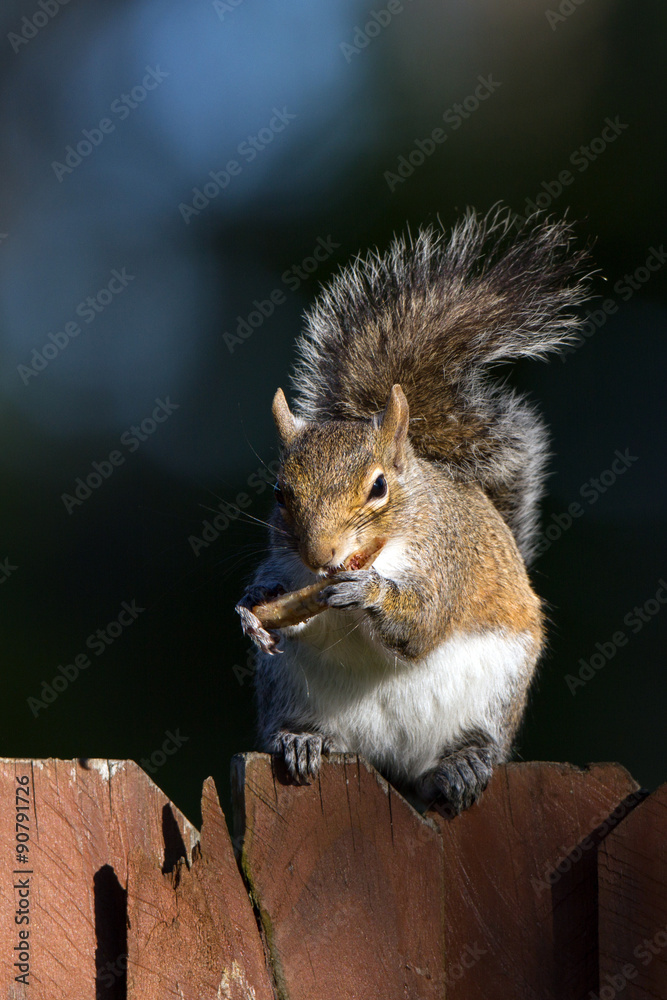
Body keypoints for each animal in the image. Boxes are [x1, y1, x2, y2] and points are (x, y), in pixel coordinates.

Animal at [237, 209, 592, 812]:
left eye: (379, 486)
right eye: (281, 493)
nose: (321, 555)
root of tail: (393, 763)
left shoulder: (446, 562)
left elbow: (423, 622)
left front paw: (367, 592)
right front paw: (253, 606)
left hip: (497, 692)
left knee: (472, 746)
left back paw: (465, 762)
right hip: (287, 690)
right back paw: (302, 740)